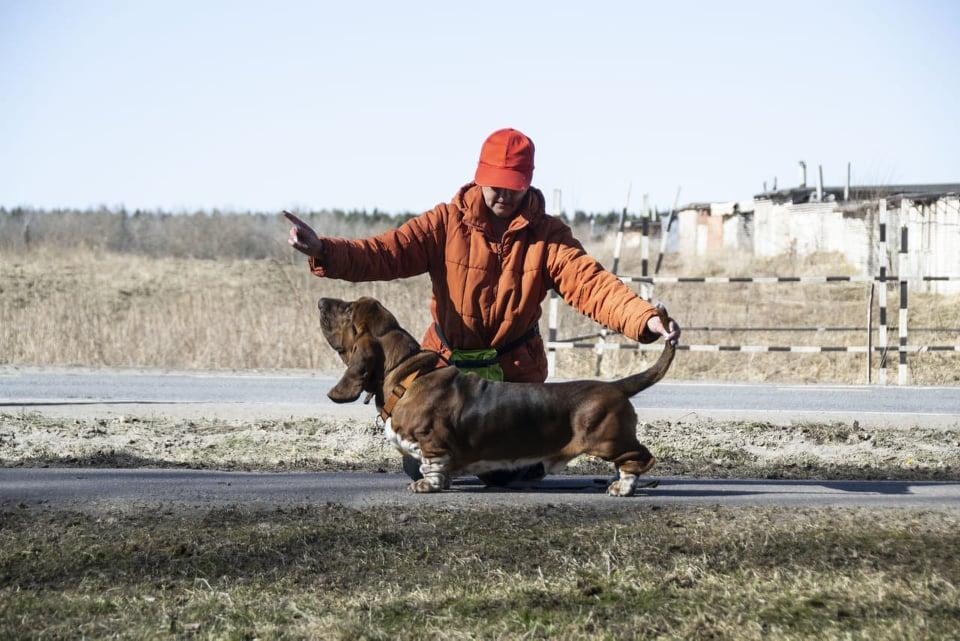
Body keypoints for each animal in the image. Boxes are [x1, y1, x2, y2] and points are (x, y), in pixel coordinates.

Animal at [320, 296, 676, 496]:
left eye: (348, 311)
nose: (322, 301)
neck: (405, 376)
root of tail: (616, 386)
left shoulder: (432, 442)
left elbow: (432, 467)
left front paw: (426, 486)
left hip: (609, 440)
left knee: (639, 458)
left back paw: (623, 487)